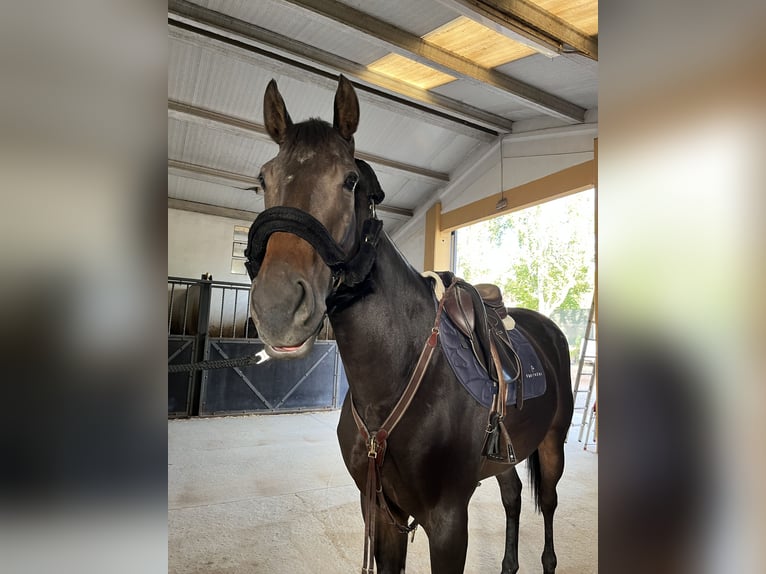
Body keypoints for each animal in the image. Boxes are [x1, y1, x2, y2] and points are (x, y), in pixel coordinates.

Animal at [249, 77, 572, 574]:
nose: (279, 306)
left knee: (549, 503)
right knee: (514, 496)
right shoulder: (382, 510)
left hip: (553, 444)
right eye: (263, 179)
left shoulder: (448, 520)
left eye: (350, 180)